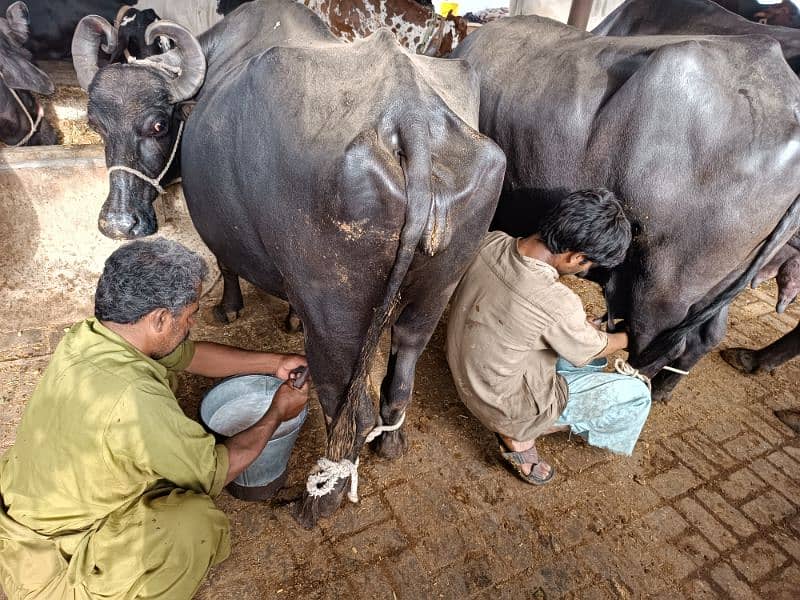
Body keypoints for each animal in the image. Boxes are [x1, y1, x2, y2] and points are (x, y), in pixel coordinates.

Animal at [72, 0, 504, 524]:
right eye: (96, 125)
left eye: (156, 124)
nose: (118, 223)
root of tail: (412, 120)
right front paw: (290, 318)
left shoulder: (217, 226)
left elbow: (226, 263)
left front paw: (230, 307)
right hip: (437, 289)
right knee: (401, 373)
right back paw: (391, 441)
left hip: (338, 317)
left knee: (348, 407)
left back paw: (317, 501)